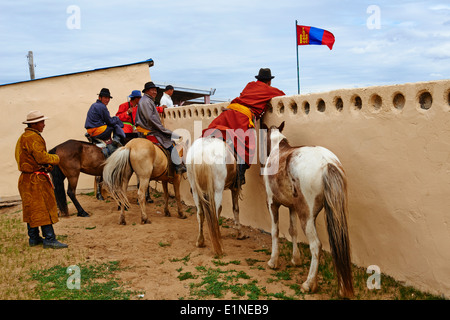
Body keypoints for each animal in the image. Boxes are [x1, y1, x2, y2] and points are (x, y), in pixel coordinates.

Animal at [262, 121, 354, 298]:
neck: (278, 150)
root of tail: (327, 162)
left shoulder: (272, 203)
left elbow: (275, 231)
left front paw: (273, 261)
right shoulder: (292, 207)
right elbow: (293, 231)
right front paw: (295, 260)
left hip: (307, 215)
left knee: (316, 245)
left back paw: (309, 284)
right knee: (338, 244)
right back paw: (342, 288)